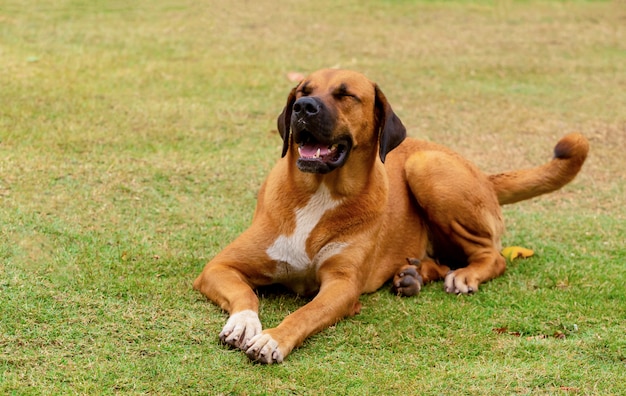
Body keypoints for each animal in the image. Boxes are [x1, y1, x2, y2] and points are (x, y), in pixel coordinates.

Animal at [193, 67, 588, 362]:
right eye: (302, 90)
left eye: (346, 95)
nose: (302, 107)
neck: (318, 192)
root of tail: (481, 172)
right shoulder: (219, 267)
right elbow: (246, 295)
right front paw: (244, 324)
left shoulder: (341, 286)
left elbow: (304, 313)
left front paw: (273, 338)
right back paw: (412, 275)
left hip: (426, 168)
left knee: (493, 255)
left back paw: (463, 276)